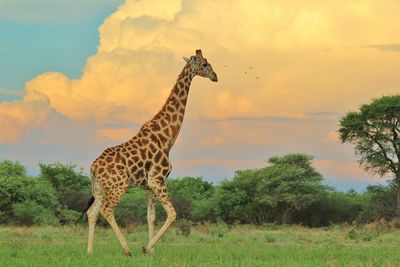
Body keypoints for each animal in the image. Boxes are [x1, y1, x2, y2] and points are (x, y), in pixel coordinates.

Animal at [83, 49, 217, 256]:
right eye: (205, 64)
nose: (215, 76)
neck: (168, 138)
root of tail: (93, 169)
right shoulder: (158, 179)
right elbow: (172, 214)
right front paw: (146, 248)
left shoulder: (149, 185)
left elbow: (151, 216)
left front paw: (151, 251)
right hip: (118, 186)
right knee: (107, 210)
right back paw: (126, 249)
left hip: (99, 188)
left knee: (92, 212)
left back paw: (90, 252)